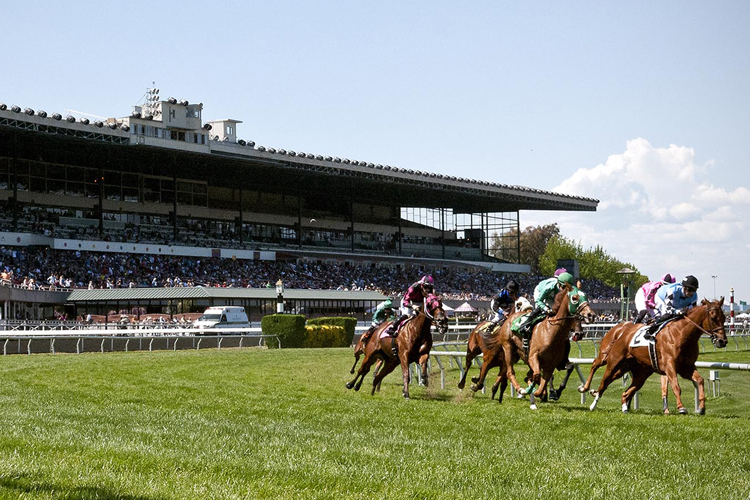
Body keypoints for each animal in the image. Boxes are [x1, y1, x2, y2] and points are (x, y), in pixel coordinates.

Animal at [588, 298, 728, 412]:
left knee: (626, 392)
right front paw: (681, 408)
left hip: (639, 372)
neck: (681, 334)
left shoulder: (686, 367)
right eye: (713, 317)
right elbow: (676, 386)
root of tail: (624, 333)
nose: (723, 341)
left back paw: (624, 407)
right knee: (603, 380)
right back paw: (592, 402)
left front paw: (701, 408)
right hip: (614, 363)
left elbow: (700, 380)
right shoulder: (669, 365)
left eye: (724, 318)